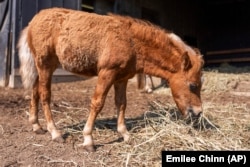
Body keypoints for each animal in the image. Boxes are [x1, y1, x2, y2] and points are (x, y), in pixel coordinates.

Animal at [18, 7, 204, 151]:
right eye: (193, 85)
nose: (198, 113)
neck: (131, 42)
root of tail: (33, 21)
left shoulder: (121, 78)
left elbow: (121, 104)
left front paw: (125, 134)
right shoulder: (107, 73)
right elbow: (97, 103)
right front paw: (88, 140)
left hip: (41, 67)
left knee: (35, 91)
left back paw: (36, 126)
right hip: (45, 65)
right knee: (44, 95)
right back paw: (55, 132)